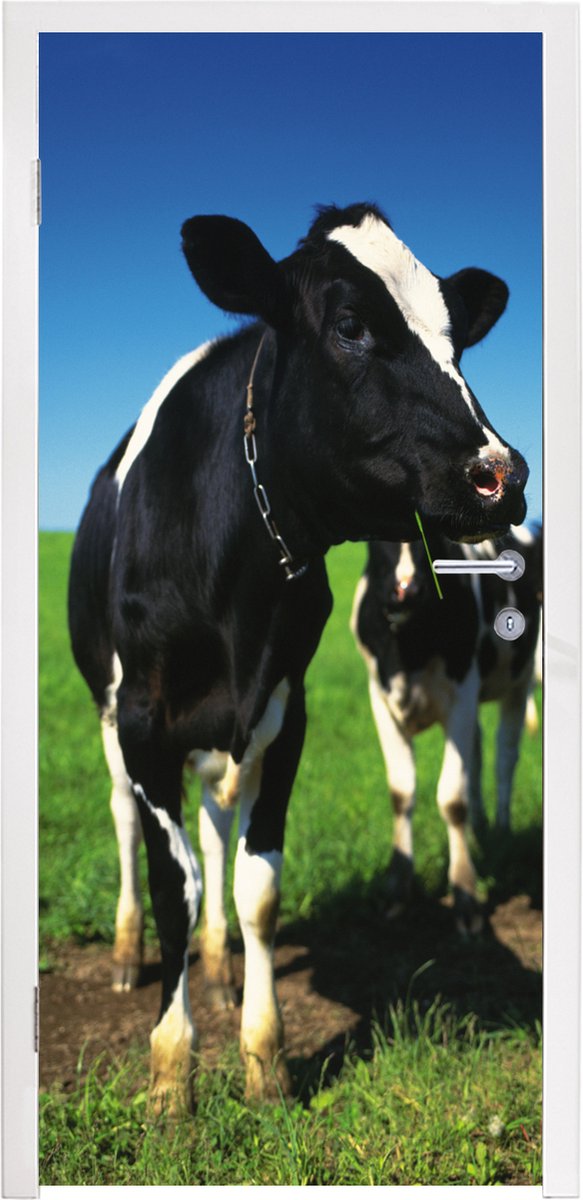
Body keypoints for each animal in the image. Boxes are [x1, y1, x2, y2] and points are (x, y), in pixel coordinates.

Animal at [351, 525, 541, 934]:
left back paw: (501, 829)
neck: (409, 648)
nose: (406, 590)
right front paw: (398, 889)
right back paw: (482, 827)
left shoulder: (463, 691)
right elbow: (401, 792)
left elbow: (453, 799)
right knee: (479, 751)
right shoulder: (379, 695)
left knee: (505, 757)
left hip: (520, 681)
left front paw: (466, 896)